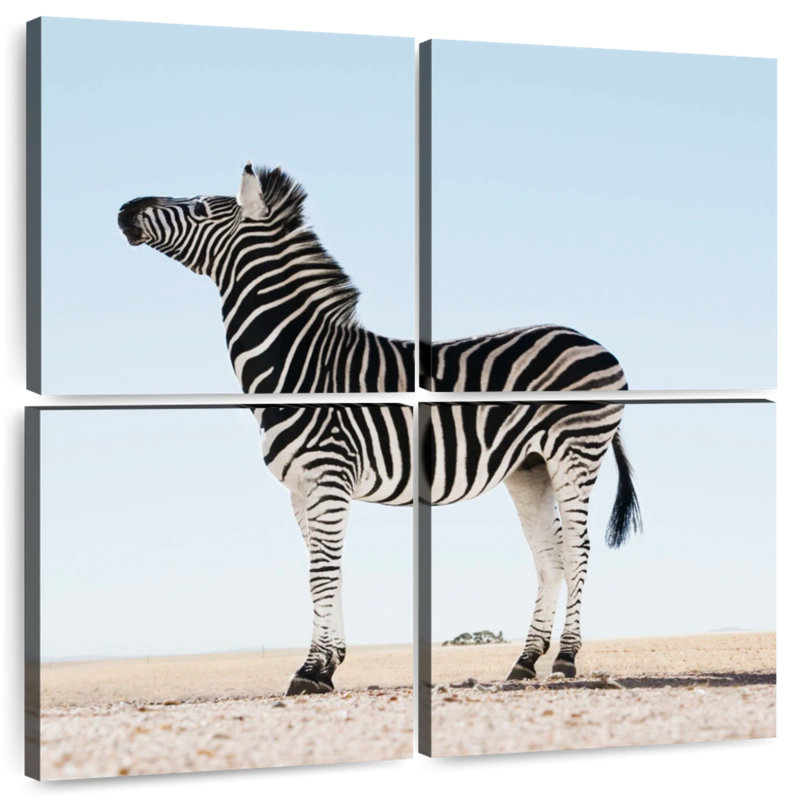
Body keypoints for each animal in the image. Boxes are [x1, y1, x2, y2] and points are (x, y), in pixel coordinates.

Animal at [118, 163, 640, 693]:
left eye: (201, 208)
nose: (124, 209)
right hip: (529, 468)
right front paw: (329, 665)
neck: (302, 363)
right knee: (550, 557)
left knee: (578, 549)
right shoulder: (302, 488)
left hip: (575, 452)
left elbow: (321, 573)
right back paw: (525, 661)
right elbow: (327, 569)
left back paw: (566, 659)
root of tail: (592, 341)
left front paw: (310, 670)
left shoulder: (328, 476)